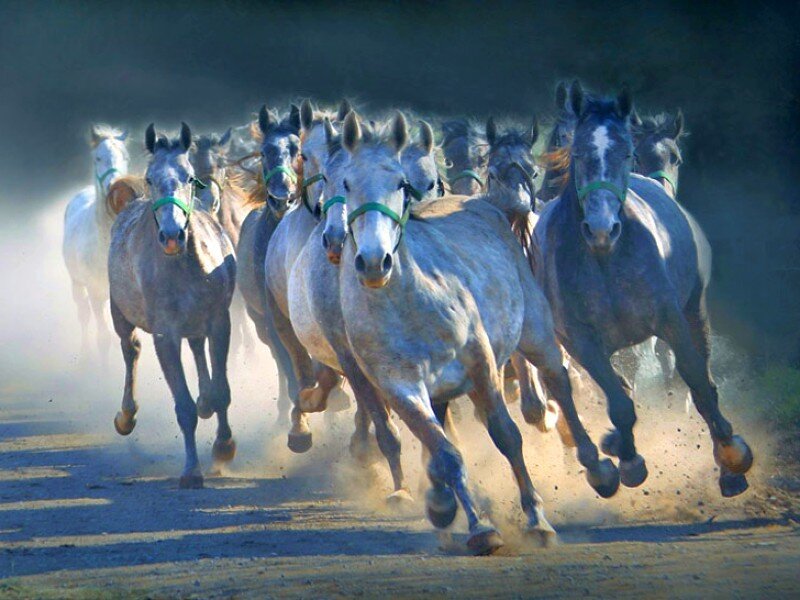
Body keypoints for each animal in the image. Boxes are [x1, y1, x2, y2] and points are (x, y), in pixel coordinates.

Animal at [63, 125, 130, 366]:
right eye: (98, 157)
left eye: (125, 156)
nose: (118, 189)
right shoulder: (96, 294)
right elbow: (103, 337)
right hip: (77, 284)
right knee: (83, 316)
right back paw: (85, 356)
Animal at [108, 123, 237, 488]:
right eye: (150, 178)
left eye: (189, 177)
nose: (171, 235)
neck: (182, 265)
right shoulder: (165, 335)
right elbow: (183, 407)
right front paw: (191, 470)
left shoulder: (220, 321)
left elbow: (222, 390)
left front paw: (224, 446)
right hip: (119, 314)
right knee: (130, 349)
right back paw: (126, 415)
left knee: (196, 347)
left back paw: (206, 400)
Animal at [333, 111, 618, 555]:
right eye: (346, 183)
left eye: (401, 183)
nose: (374, 262)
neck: (408, 305)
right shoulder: (399, 387)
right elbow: (445, 453)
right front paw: (476, 525)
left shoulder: (481, 367)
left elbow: (507, 436)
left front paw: (537, 519)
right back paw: (441, 499)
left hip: (536, 334)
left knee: (559, 383)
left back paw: (596, 466)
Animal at [532, 82, 753, 498]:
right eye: (578, 152)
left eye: (626, 152)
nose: (602, 228)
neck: (605, 258)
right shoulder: (583, 342)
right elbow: (617, 402)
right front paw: (628, 463)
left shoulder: (670, 320)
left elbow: (696, 380)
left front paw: (732, 460)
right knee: (575, 389)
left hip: (692, 311)